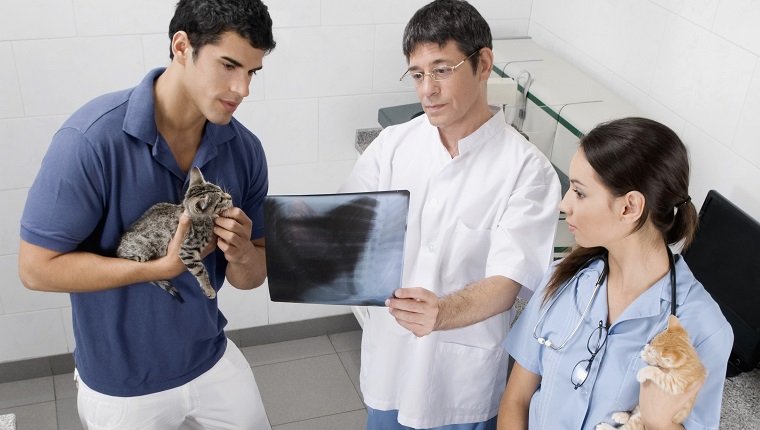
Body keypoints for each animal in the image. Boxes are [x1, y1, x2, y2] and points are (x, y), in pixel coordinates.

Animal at [116, 166, 232, 300]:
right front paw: (208, 289)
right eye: (220, 200)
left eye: (221, 190)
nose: (230, 197)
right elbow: (200, 270)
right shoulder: (186, 250)